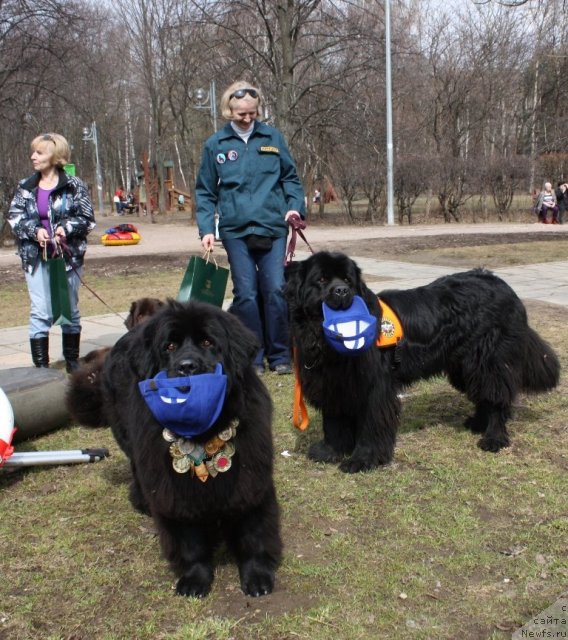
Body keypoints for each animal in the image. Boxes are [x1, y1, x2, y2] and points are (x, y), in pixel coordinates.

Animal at [67, 302, 280, 596]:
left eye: (207, 342)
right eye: (169, 347)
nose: (186, 366)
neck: (203, 431)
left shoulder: (251, 477)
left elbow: (253, 529)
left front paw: (257, 576)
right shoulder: (172, 489)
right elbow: (188, 540)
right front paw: (194, 578)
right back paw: (143, 502)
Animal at [284, 252, 560, 472]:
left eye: (348, 280)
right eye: (321, 280)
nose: (342, 291)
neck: (325, 341)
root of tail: (504, 285)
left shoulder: (375, 389)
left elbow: (371, 424)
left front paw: (362, 460)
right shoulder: (333, 385)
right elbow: (334, 423)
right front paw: (331, 451)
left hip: (490, 360)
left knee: (497, 396)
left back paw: (493, 438)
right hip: (465, 366)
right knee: (484, 393)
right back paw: (478, 424)